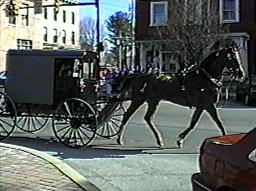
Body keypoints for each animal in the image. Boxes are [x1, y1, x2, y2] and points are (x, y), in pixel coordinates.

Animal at [115, 47, 244, 148]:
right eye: (232, 58)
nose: (241, 74)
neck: (205, 78)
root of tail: (139, 75)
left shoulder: (203, 106)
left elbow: (196, 123)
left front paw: (180, 139)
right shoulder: (208, 105)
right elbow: (215, 122)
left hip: (153, 101)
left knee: (148, 118)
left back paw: (159, 140)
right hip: (138, 99)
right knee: (127, 115)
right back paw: (119, 138)